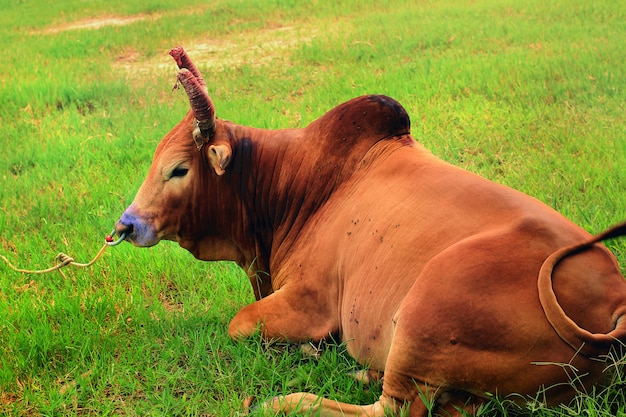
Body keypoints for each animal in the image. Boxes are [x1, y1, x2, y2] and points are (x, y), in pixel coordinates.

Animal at [114, 47, 624, 414]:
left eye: (179, 169)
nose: (127, 224)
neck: (296, 184)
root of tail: (615, 303)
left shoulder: (310, 301)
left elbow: (239, 322)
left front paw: (308, 351)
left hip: (423, 313)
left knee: (392, 409)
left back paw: (287, 400)